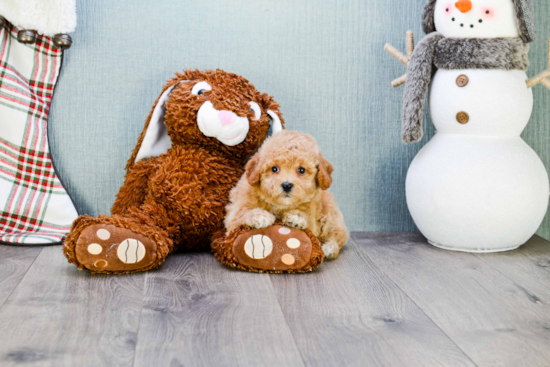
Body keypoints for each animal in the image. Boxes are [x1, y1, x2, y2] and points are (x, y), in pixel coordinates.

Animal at [225, 131, 350, 260]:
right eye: (274, 169)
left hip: (331, 212)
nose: (286, 185)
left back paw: (329, 248)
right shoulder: (233, 215)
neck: (280, 206)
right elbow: (241, 216)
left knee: (338, 235)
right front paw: (259, 216)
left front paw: (296, 218)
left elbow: (308, 223)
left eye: (301, 170)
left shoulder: (313, 221)